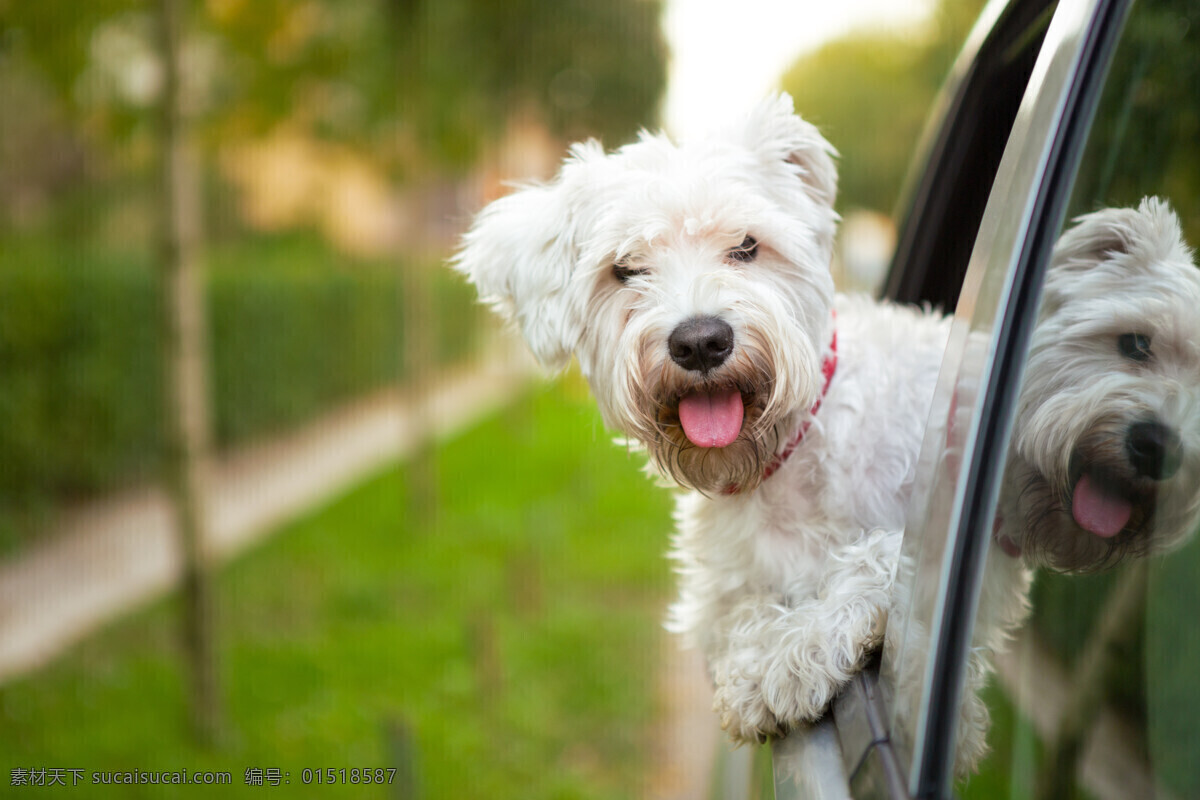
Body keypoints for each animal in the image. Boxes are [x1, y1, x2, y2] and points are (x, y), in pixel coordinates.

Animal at [453, 95, 950, 743]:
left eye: (746, 245)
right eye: (625, 269)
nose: (700, 342)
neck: (782, 463)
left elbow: (878, 558)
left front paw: (789, 659)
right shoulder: (718, 594)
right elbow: (738, 613)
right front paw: (758, 663)